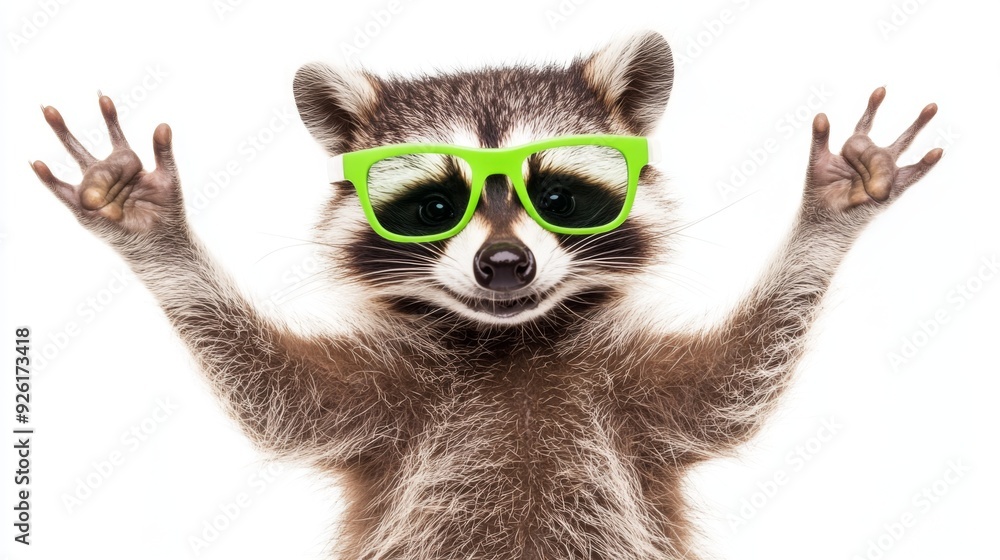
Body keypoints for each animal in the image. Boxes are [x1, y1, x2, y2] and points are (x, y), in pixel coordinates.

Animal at [33, 31, 941, 559]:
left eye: (560, 197)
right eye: (438, 207)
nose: (505, 265)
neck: (511, 341)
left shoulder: (629, 403)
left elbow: (737, 381)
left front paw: (824, 222)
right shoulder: (389, 406)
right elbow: (275, 391)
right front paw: (161, 241)